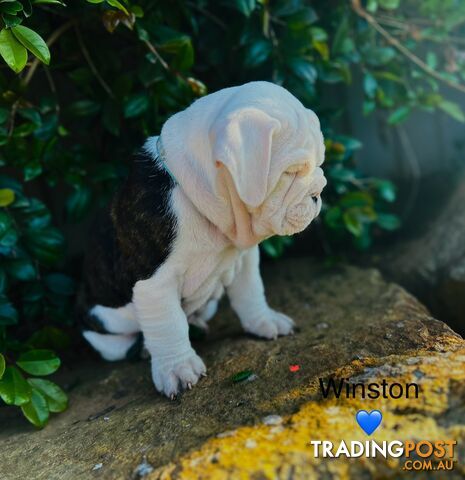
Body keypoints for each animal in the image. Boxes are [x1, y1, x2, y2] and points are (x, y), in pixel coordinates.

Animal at [78, 81, 326, 398]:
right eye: (290, 173)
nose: (318, 192)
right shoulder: (154, 282)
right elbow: (168, 324)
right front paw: (177, 368)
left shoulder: (244, 260)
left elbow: (250, 292)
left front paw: (264, 321)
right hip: (104, 327)